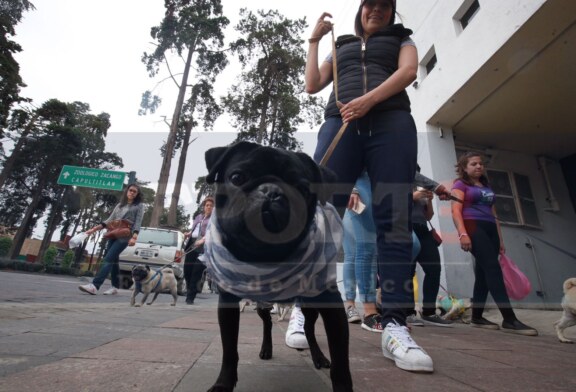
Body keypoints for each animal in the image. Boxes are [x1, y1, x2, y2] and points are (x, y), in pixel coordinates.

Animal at [202, 142, 356, 392]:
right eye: (236, 177)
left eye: (302, 189)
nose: (271, 191)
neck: (266, 256)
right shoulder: (227, 305)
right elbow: (229, 350)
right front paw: (223, 384)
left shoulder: (332, 307)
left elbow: (341, 363)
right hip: (263, 305)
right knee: (268, 324)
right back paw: (267, 348)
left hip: (309, 306)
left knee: (309, 329)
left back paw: (318, 357)